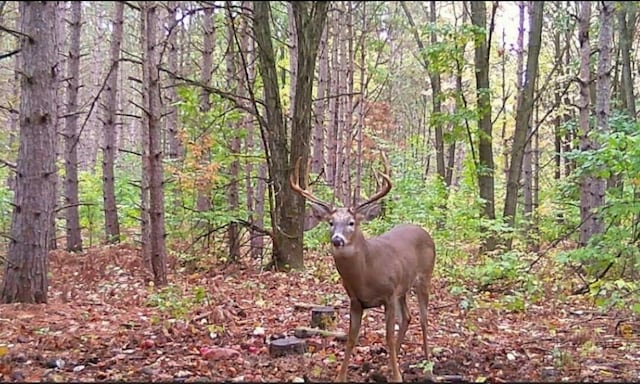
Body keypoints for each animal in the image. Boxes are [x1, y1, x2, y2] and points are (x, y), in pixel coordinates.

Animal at [288, 155, 436, 380]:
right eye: (330, 222)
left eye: (351, 223)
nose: (337, 240)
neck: (366, 274)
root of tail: (425, 232)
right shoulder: (356, 300)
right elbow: (351, 338)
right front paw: (340, 376)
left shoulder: (388, 294)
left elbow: (388, 337)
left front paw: (397, 377)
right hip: (402, 288)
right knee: (407, 317)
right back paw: (387, 366)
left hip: (424, 277)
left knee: (424, 320)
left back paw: (427, 368)